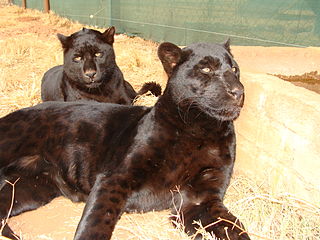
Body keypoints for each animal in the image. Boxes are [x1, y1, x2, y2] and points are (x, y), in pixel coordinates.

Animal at [0, 40, 250, 239]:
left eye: (234, 69)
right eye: (206, 68)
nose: (239, 91)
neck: (199, 130)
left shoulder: (201, 199)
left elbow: (235, 229)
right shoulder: (116, 177)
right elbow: (97, 220)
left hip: (28, 188)